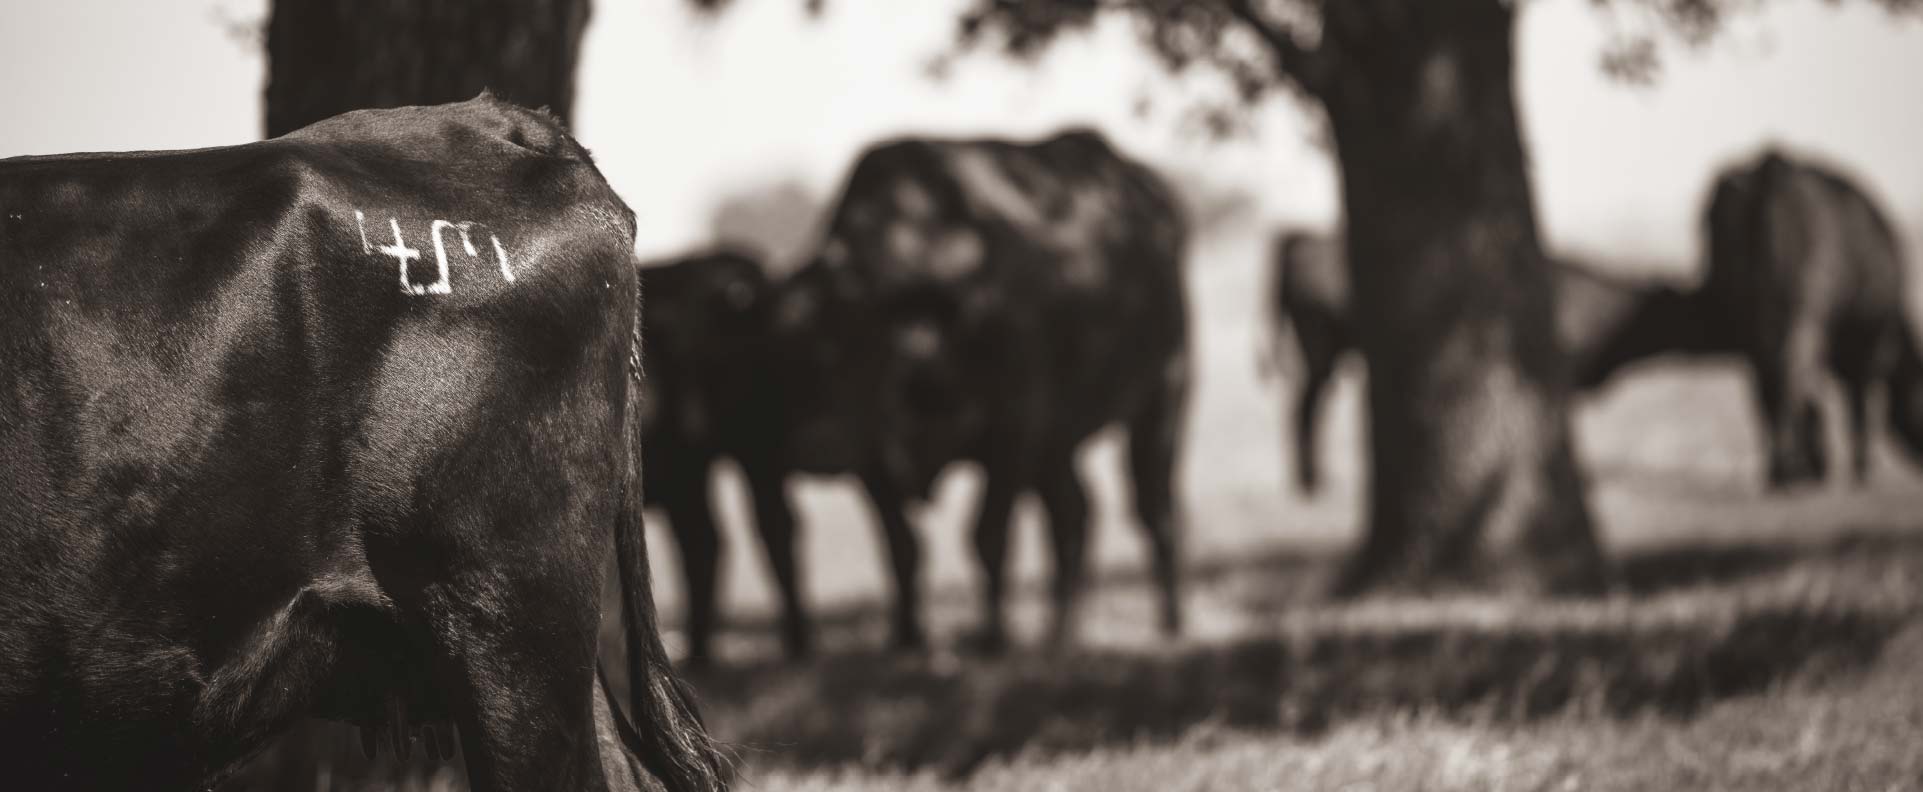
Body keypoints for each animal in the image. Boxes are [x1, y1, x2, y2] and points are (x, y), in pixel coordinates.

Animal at [1261, 228, 1730, 495]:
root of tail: (1300, 239)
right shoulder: (1555, 375)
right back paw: (1312, 483)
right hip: (1320, 345)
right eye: (1689, 308)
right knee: (1305, 406)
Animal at [1699, 148, 1923, 482]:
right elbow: (1858, 407)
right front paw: (1858, 470)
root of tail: (1771, 167)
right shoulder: (1867, 348)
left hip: (1748, 315)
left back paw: (1779, 469)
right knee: (1790, 377)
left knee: (1767, 385)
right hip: (1802, 312)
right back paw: (1795, 468)